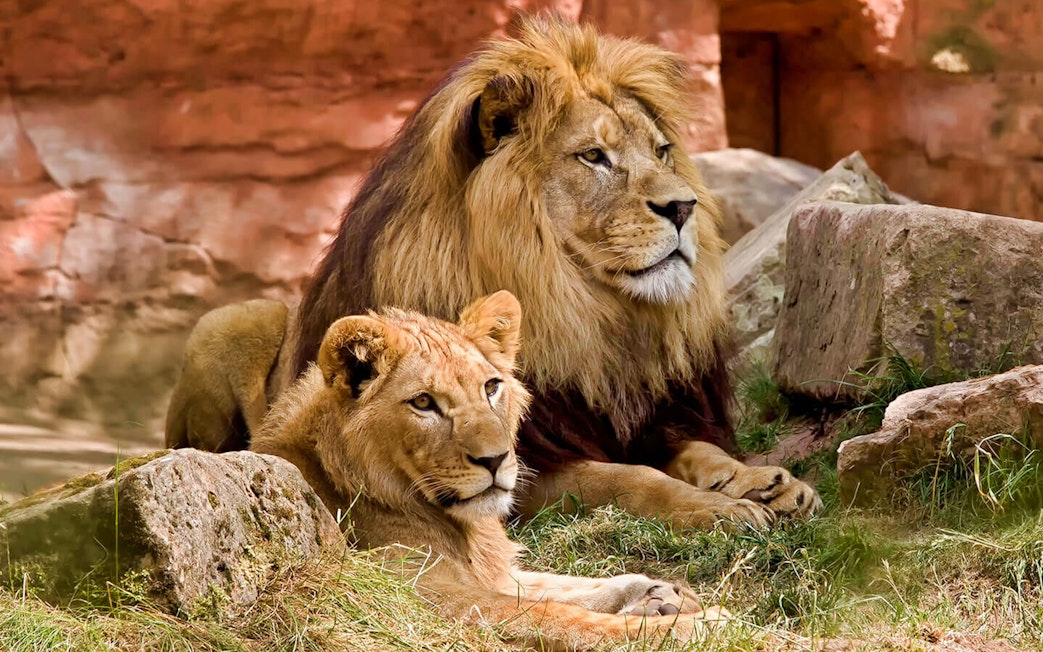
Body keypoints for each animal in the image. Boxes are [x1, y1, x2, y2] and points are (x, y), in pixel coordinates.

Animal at [166, 15, 820, 528]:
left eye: (661, 151)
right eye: (594, 156)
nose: (685, 207)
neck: (587, 317)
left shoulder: (645, 416)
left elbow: (698, 451)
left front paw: (761, 480)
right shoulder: (517, 467)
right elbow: (630, 479)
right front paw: (719, 508)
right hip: (231, 318)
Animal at [250, 290, 728, 649]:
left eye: (491, 387)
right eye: (423, 402)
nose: (496, 459)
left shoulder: (490, 573)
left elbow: (560, 585)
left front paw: (657, 592)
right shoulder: (419, 597)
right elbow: (556, 615)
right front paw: (698, 626)